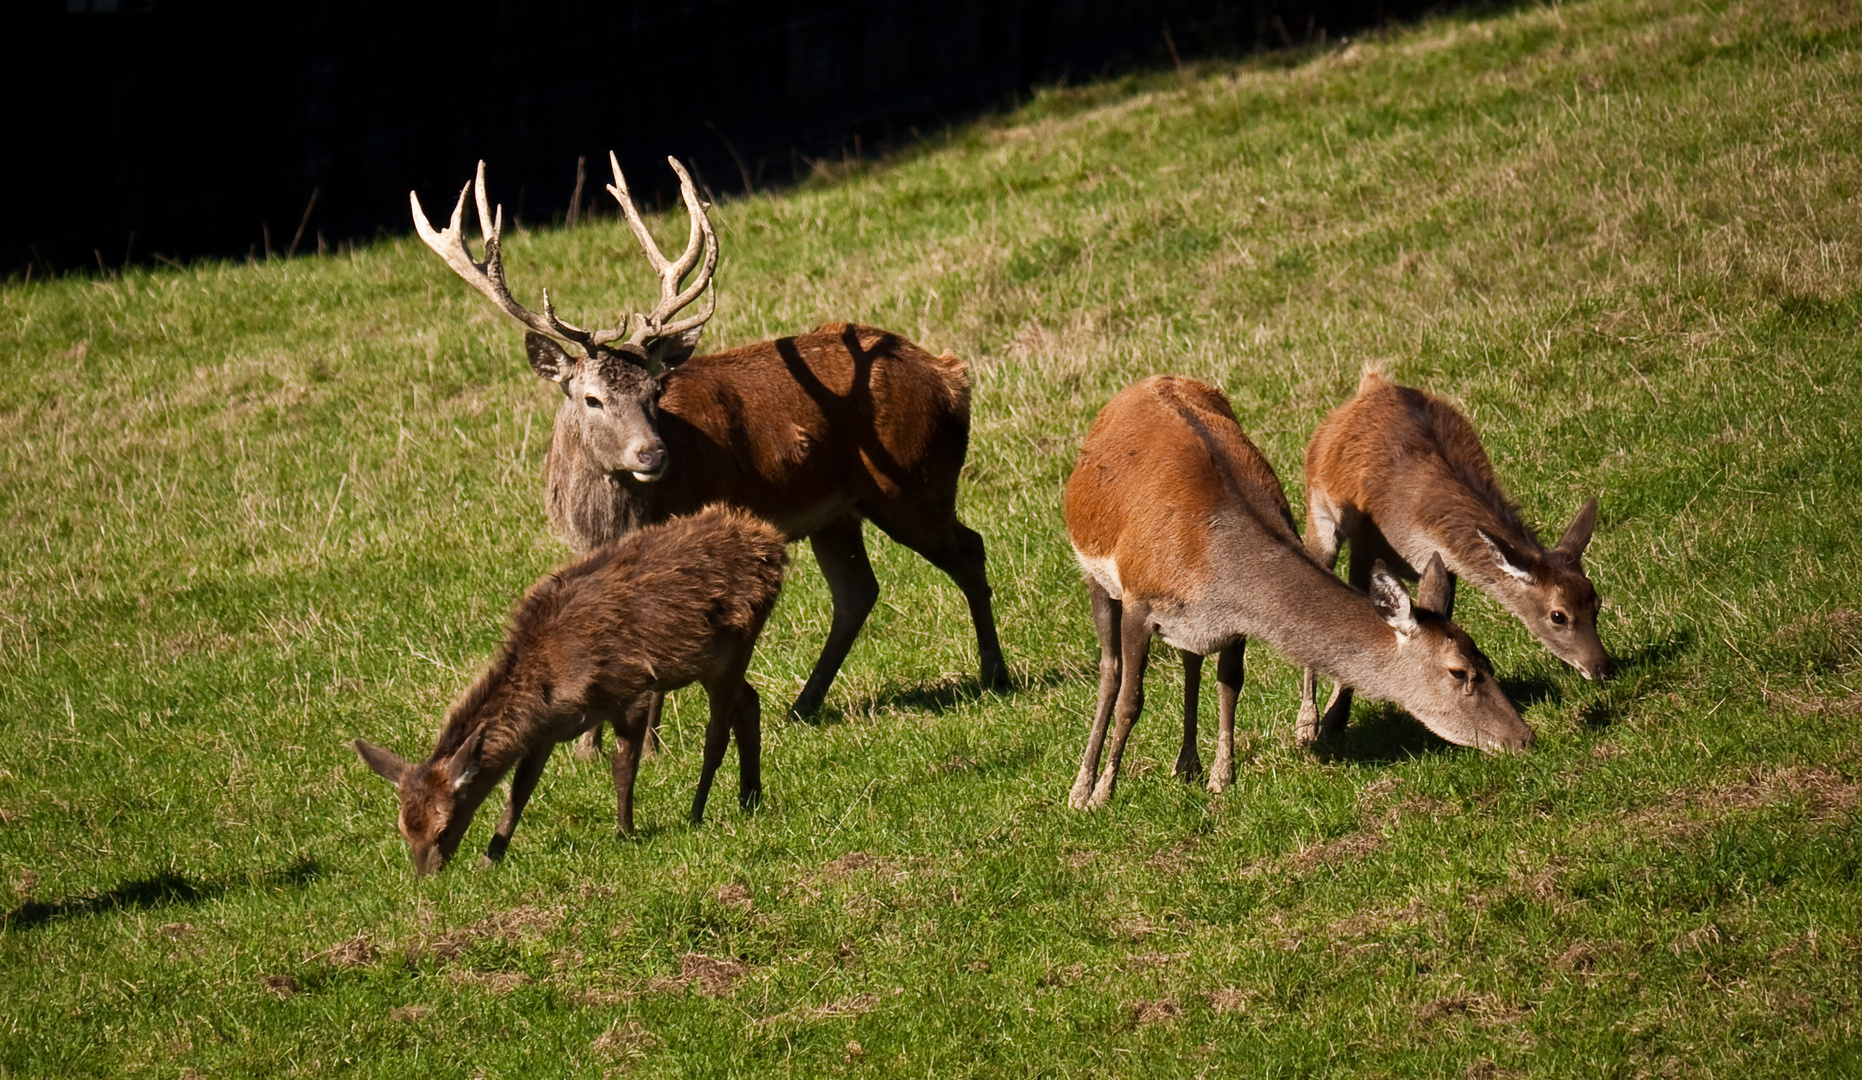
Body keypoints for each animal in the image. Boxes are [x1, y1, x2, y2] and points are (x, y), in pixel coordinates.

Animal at [350, 510, 785, 878]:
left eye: (442, 829)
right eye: (405, 830)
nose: (427, 877)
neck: (552, 687)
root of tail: (773, 544)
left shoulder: (631, 689)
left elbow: (622, 766)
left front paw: (625, 831)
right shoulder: (543, 733)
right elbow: (519, 791)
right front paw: (492, 855)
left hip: (738, 641)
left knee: (718, 731)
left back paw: (698, 810)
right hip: (715, 662)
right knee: (749, 703)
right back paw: (750, 797)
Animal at [415, 153, 1012, 741]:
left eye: (655, 391)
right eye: (592, 398)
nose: (653, 455)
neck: (607, 519)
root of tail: (952, 377)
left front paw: (649, 739)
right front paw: (593, 738)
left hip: (912, 481)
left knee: (968, 548)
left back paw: (994, 674)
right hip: (836, 512)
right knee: (857, 593)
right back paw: (804, 705)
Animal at [1065, 376, 1526, 804]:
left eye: (1487, 660)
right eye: (1459, 672)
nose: (1525, 737)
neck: (1212, 566)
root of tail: (1147, 383)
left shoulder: (1232, 622)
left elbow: (1230, 684)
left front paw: (1221, 777)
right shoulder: (1140, 600)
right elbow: (1131, 700)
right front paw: (1101, 793)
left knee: (1190, 660)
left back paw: (1186, 765)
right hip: (1094, 570)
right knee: (1110, 670)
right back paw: (1082, 786)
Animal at [1295, 366, 1616, 737]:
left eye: (1597, 603)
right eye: (1558, 615)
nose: (1603, 667)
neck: (1414, 527)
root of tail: (1371, 383)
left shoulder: (1441, 567)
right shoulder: (1365, 543)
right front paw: (1332, 720)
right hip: (1318, 513)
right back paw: (1306, 722)